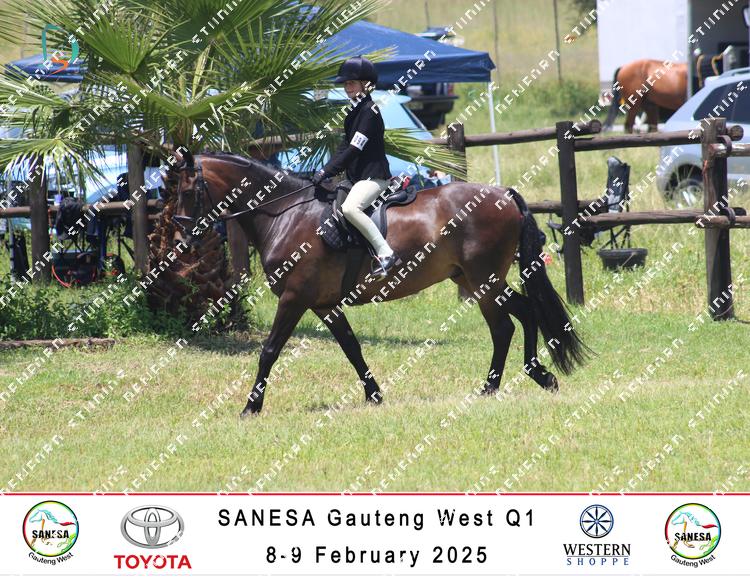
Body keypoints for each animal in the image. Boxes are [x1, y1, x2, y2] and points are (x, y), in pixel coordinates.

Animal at [171, 151, 589, 416]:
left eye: (189, 191)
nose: (182, 239)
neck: (286, 214)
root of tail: (503, 193)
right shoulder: (324, 304)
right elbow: (352, 348)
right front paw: (374, 396)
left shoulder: (294, 298)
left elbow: (269, 351)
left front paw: (250, 407)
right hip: (476, 281)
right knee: (516, 318)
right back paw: (522, 379)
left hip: (483, 280)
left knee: (509, 322)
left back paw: (513, 381)